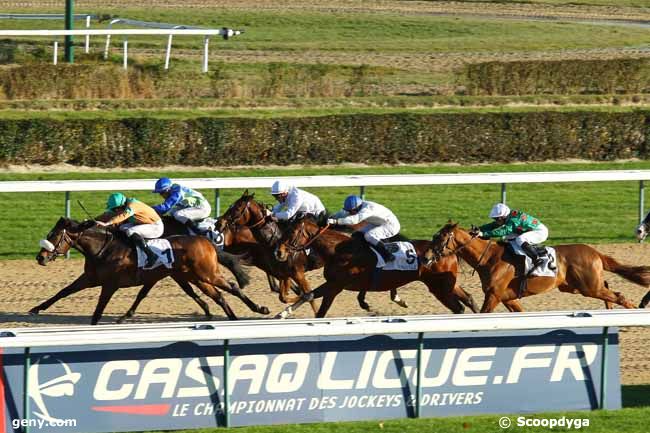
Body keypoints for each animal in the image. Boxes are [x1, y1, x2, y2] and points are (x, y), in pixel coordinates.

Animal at [29, 218, 268, 322]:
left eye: (54, 235)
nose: (40, 257)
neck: (103, 249)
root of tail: (206, 241)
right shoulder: (90, 278)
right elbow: (63, 291)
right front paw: (36, 308)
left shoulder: (110, 284)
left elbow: (98, 309)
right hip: (195, 277)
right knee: (218, 296)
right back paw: (230, 318)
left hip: (206, 273)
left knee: (233, 287)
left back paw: (259, 308)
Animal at [270, 213, 478, 318]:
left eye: (292, 232)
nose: (278, 252)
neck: (338, 250)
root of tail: (448, 251)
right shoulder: (332, 283)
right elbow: (308, 294)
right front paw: (282, 313)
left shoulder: (336, 286)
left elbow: (320, 311)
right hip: (447, 284)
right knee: (468, 300)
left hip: (439, 287)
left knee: (459, 307)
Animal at [426, 223, 648, 310]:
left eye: (441, 237)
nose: (426, 256)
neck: (489, 258)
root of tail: (595, 252)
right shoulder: (507, 297)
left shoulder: (494, 294)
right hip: (577, 287)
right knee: (610, 291)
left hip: (588, 286)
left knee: (619, 295)